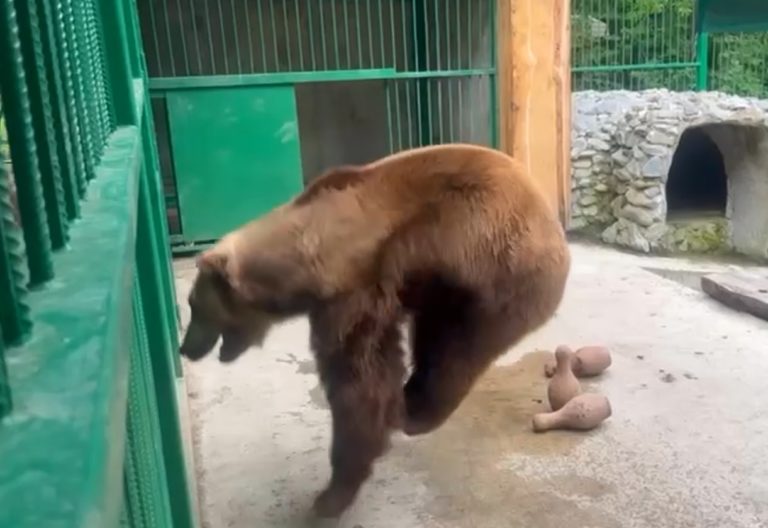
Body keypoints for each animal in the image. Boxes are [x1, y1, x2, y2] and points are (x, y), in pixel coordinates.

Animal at [179, 143, 571, 518]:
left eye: (193, 307)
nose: (185, 348)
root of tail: (554, 225)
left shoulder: (356, 289)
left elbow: (358, 379)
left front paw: (331, 495)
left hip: (490, 271)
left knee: (453, 350)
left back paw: (416, 409)